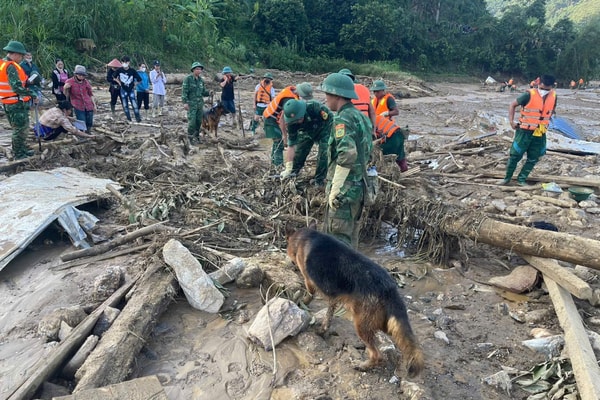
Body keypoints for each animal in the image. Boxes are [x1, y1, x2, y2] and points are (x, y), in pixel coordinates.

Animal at [288, 225, 424, 378]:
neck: (308, 237)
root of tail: (389, 289)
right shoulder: (334, 297)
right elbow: (329, 315)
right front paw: (323, 329)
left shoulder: (308, 280)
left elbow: (309, 294)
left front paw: (301, 301)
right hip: (387, 325)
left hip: (361, 325)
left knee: (377, 355)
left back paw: (363, 366)